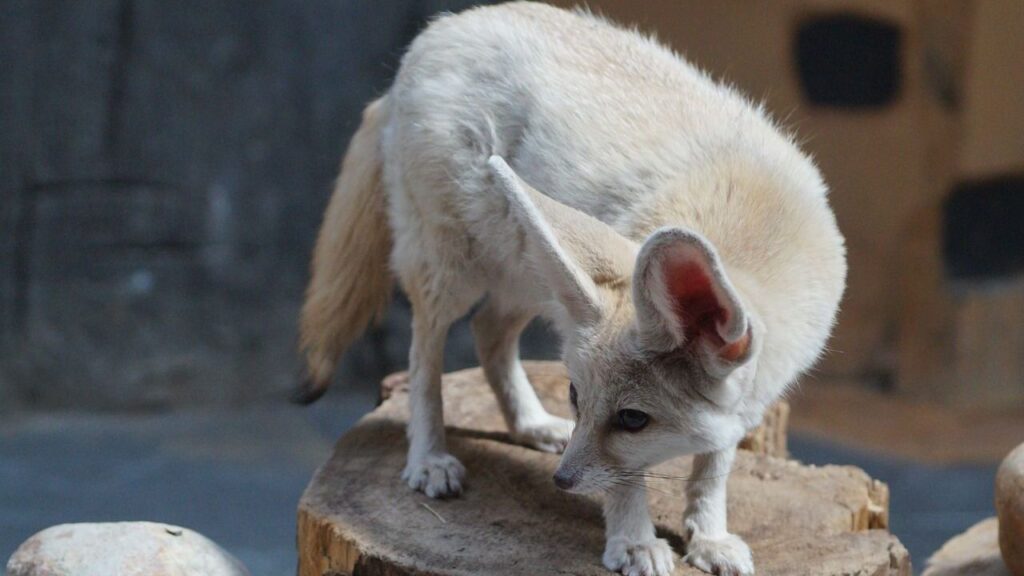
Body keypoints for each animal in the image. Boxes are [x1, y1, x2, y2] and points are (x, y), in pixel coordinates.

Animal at [295, 3, 846, 575]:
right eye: (577, 396)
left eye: (632, 419)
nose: (561, 481)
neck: (756, 227)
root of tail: (438, 30)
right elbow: (628, 483)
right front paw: (634, 541)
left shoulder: (741, 408)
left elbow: (711, 471)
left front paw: (709, 537)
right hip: (454, 274)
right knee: (425, 356)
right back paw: (428, 457)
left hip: (531, 274)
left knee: (489, 331)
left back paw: (530, 424)